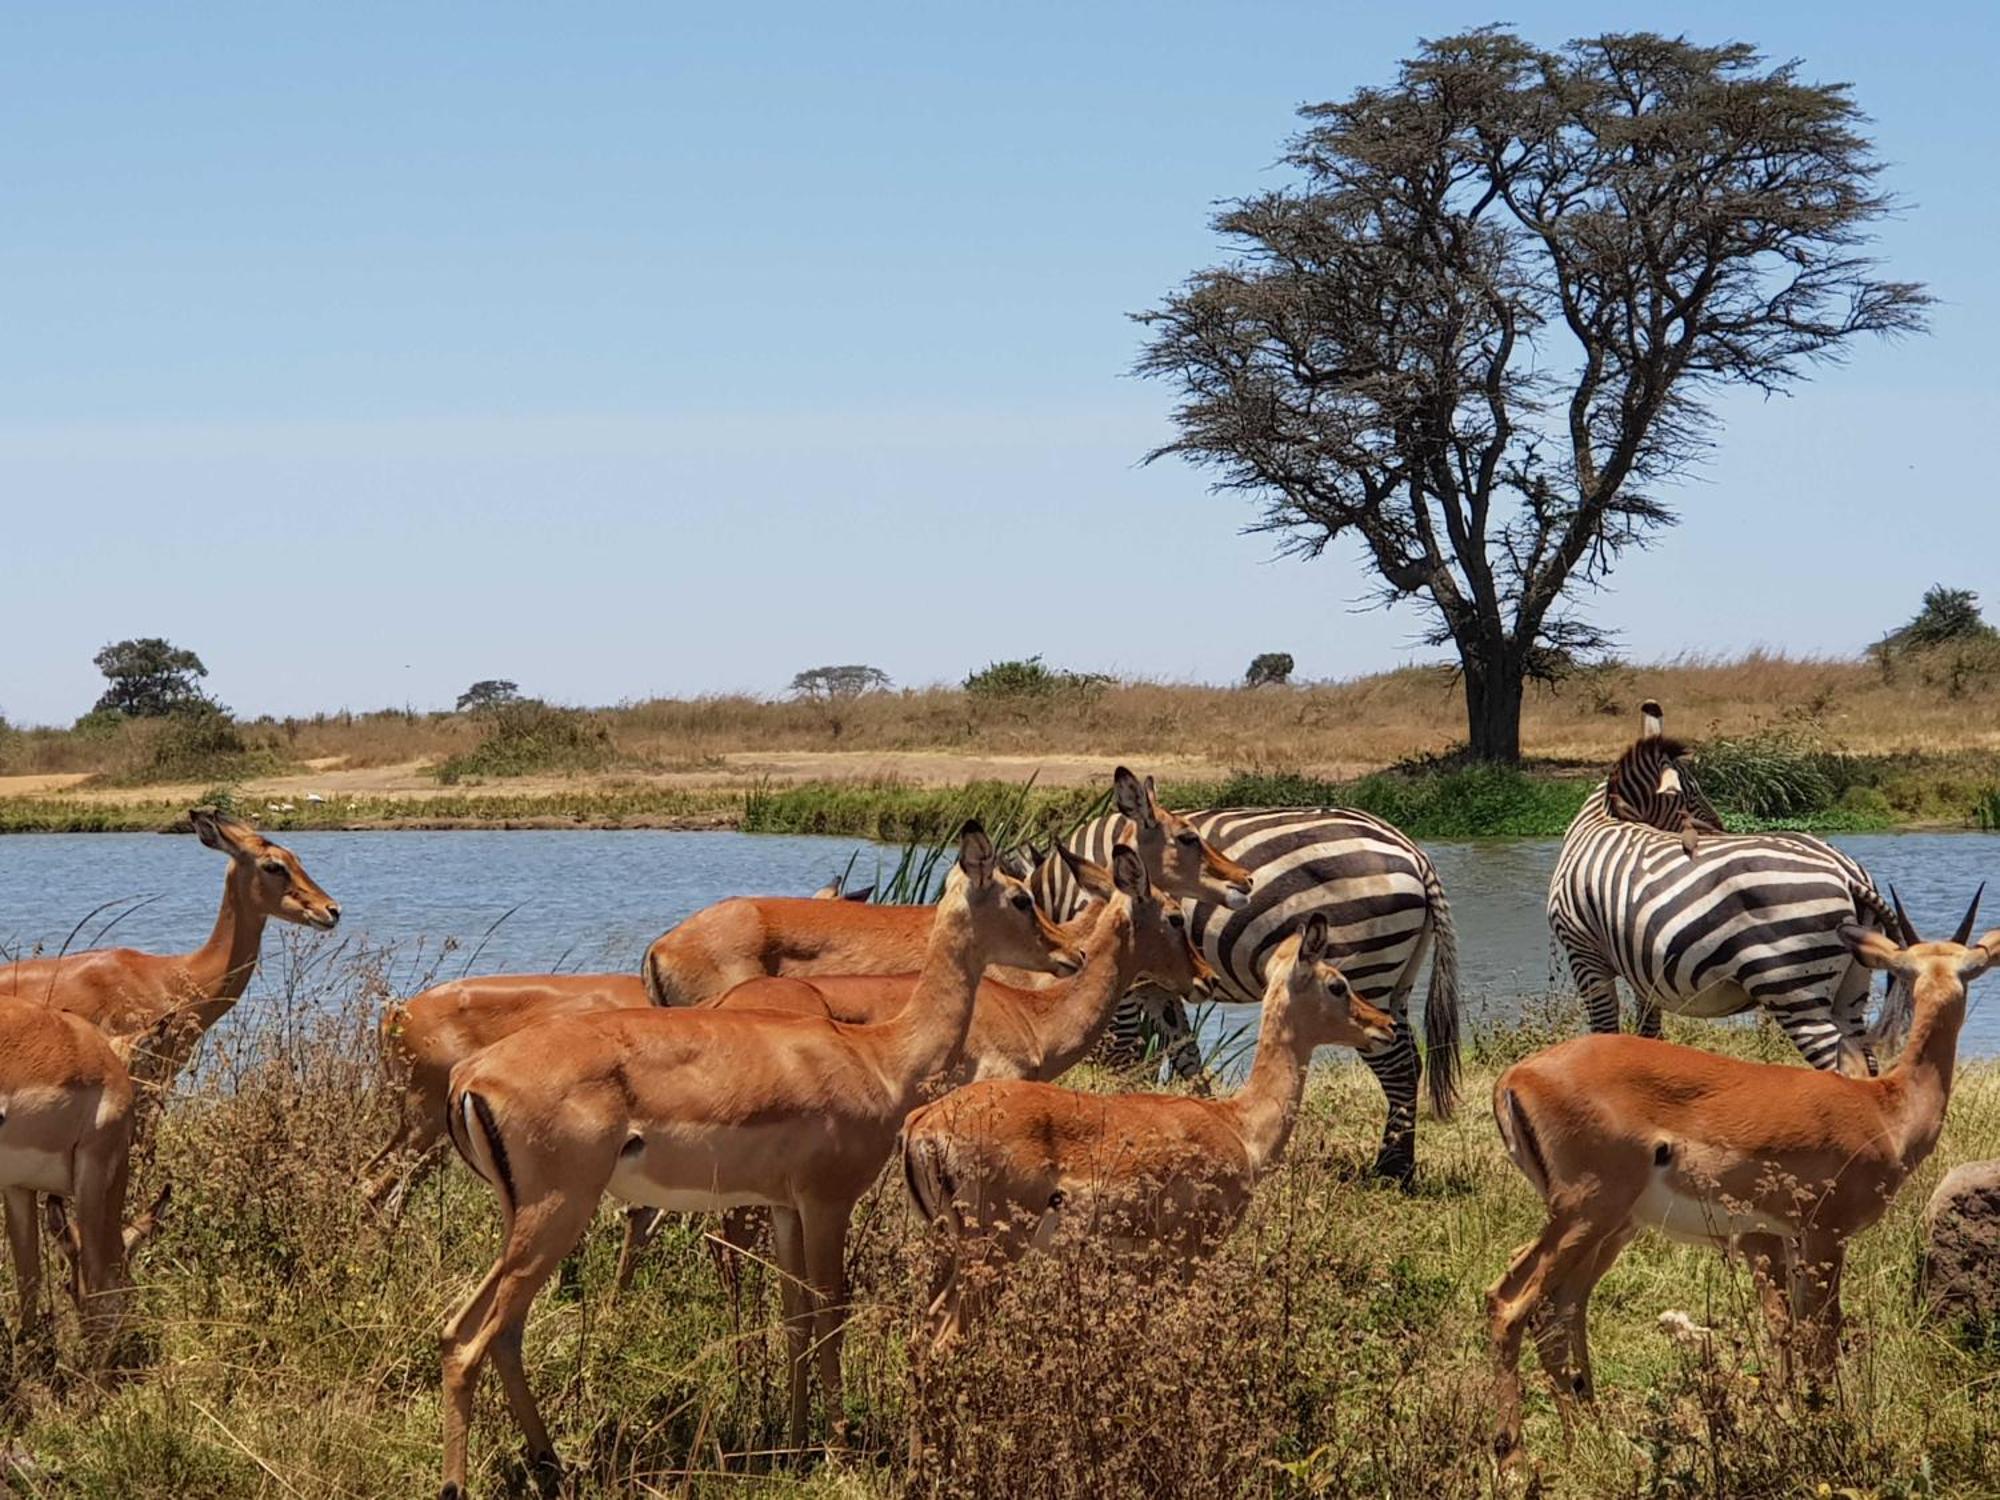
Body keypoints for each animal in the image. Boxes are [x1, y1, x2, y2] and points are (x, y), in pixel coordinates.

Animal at [1040, 776, 1464, 1184]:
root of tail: (1415, 853)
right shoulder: (1161, 987)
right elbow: (1186, 1056)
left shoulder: (1130, 986)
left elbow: (1123, 1059)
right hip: (1396, 981)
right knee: (1411, 1060)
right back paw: (1399, 1164)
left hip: (1365, 971)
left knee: (1398, 1067)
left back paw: (1392, 1170)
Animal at [1552, 708, 1896, 1080]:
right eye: (1690, 796)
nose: (1718, 830)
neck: (1603, 819)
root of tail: (1847, 873)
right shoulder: (1640, 969)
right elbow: (1647, 1030)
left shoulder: (1583, 952)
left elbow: (1604, 1027)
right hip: (1853, 984)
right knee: (1866, 1065)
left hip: (1792, 986)